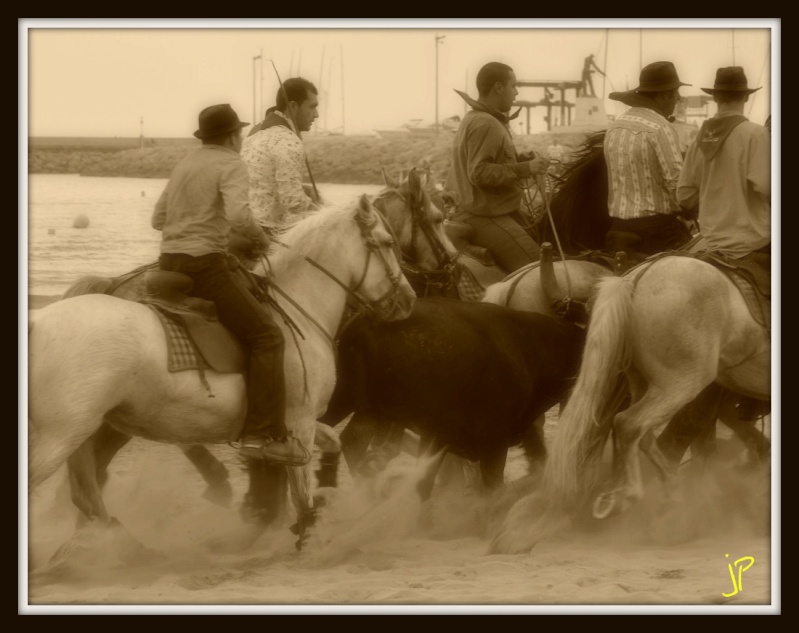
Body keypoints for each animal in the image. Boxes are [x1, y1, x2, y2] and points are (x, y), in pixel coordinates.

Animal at [29, 195, 418, 552]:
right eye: (387, 243)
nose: (410, 300)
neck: (299, 307)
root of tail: (38, 322)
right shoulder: (300, 423)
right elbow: (301, 493)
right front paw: (307, 532)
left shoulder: (298, 427)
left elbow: (331, 444)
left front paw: (325, 489)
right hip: (63, 435)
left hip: (93, 428)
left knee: (86, 487)